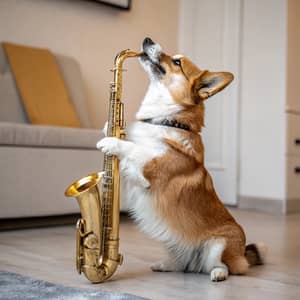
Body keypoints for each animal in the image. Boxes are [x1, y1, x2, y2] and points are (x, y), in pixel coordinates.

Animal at [98, 37, 264, 282]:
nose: (147, 39)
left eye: (177, 62)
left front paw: (111, 142)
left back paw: (218, 274)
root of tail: (242, 253)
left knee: (222, 266)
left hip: (218, 244)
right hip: (172, 240)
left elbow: (135, 148)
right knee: (184, 264)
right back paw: (166, 264)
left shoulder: (148, 170)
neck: (166, 121)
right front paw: (109, 127)